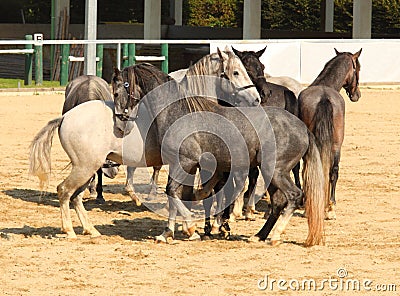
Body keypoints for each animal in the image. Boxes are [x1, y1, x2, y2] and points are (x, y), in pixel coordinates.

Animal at [296, 49, 362, 220]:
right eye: (358, 69)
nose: (357, 94)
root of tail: (324, 97)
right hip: (336, 145)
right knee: (333, 171)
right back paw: (330, 207)